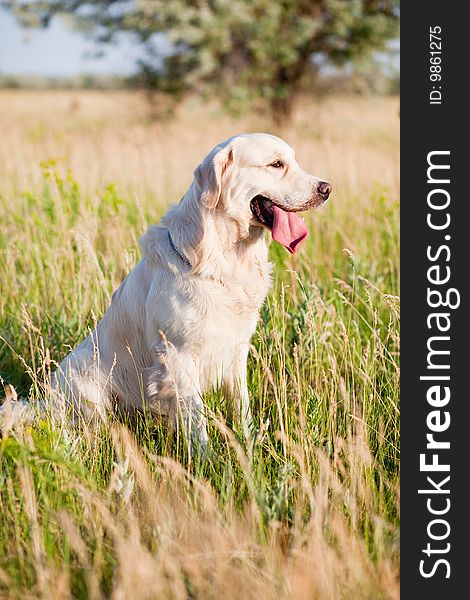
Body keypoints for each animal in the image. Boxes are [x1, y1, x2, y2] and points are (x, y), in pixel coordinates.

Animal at [1, 134, 330, 452]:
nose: (326, 188)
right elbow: (197, 419)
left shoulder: (236, 350)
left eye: (293, 161)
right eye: (276, 164)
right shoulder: (177, 355)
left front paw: (248, 445)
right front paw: (205, 461)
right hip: (86, 377)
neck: (221, 260)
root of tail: (45, 403)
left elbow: (242, 407)